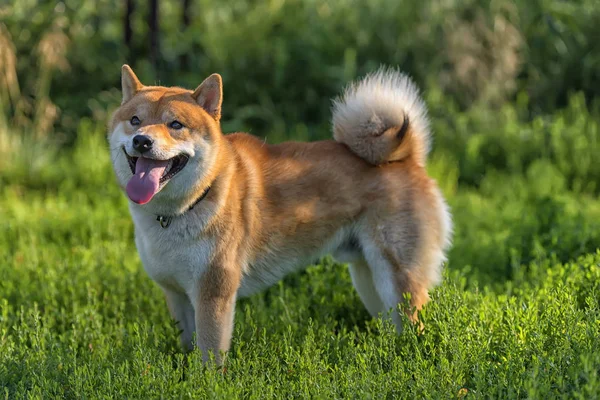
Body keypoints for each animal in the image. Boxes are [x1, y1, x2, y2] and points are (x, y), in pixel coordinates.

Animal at [108, 65, 450, 362]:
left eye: (175, 125)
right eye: (135, 120)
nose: (142, 140)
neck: (178, 212)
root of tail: (408, 159)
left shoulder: (213, 294)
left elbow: (209, 355)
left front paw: (206, 384)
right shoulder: (177, 294)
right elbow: (188, 346)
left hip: (396, 281)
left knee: (414, 326)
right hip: (368, 280)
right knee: (392, 325)